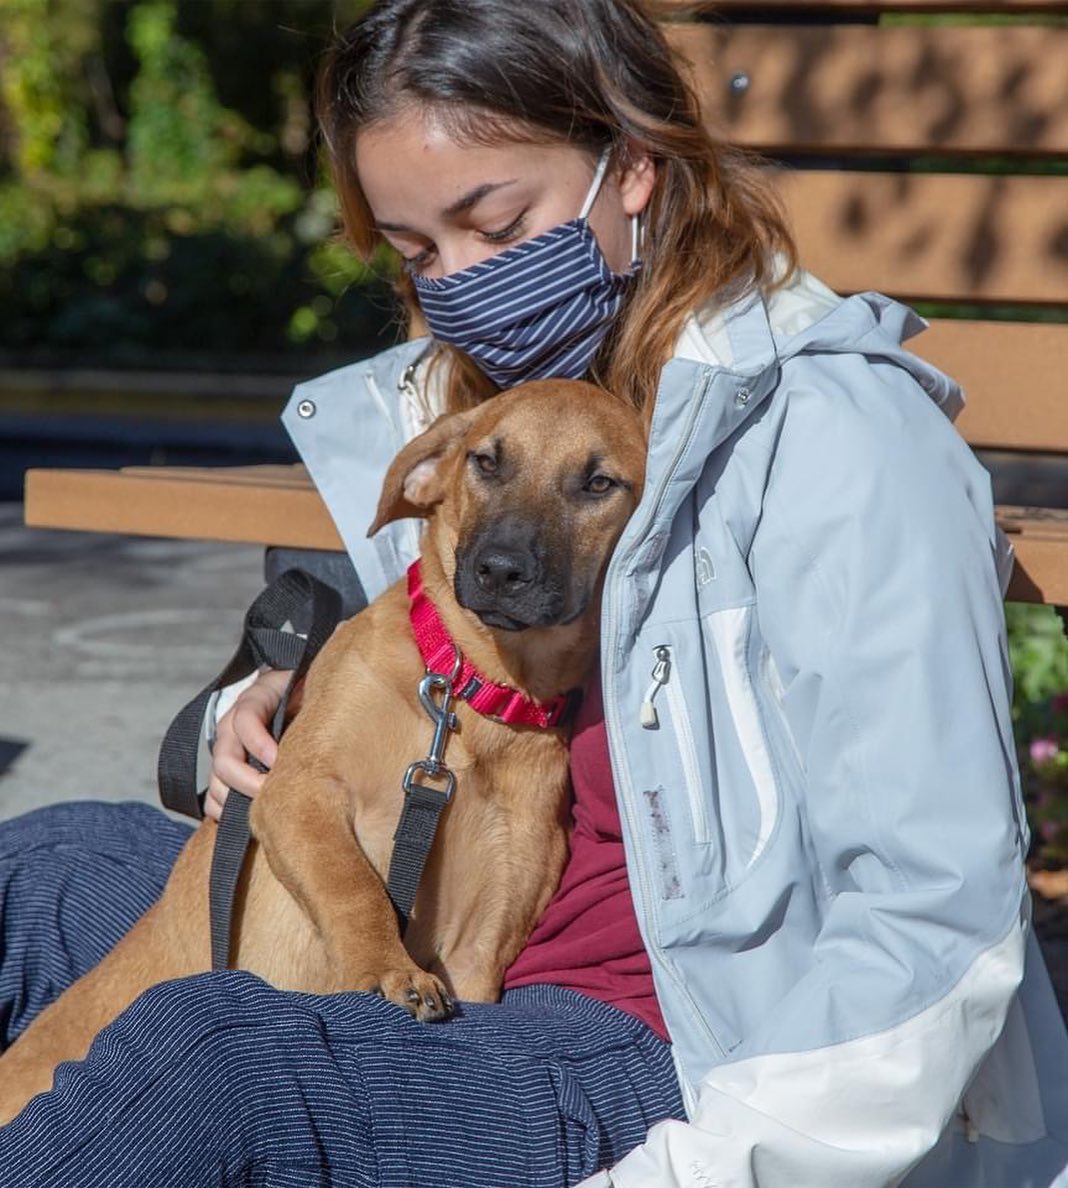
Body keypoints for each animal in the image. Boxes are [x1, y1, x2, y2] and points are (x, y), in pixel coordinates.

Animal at [0, 380, 646, 1121]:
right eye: (486, 461)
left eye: (598, 484)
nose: (500, 570)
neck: (468, 694)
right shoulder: (294, 791)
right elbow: (353, 885)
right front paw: (388, 969)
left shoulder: (487, 936)